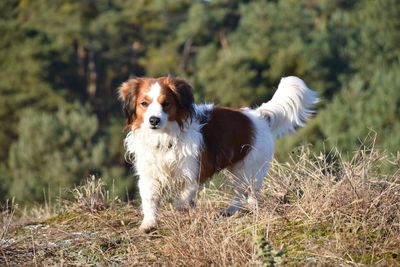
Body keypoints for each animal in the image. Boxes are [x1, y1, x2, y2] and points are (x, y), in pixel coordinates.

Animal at [117, 75, 318, 232]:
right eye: (144, 104)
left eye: (166, 103)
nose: (154, 120)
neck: (163, 136)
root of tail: (258, 116)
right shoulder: (149, 174)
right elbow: (149, 199)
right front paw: (149, 224)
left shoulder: (194, 171)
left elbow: (183, 197)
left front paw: (181, 210)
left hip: (247, 170)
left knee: (245, 193)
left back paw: (240, 209)